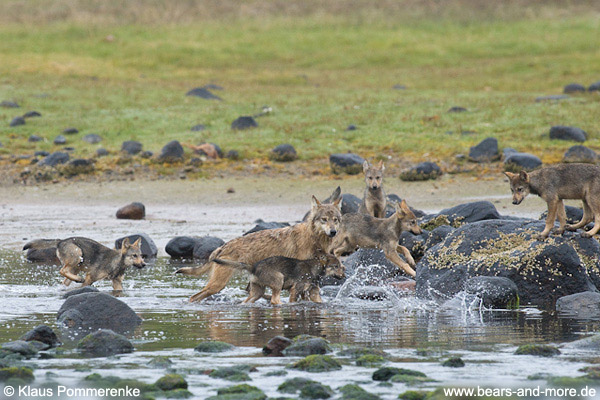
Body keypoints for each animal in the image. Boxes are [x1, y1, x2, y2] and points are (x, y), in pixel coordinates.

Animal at [212, 255, 344, 304]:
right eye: (336, 266)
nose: (344, 276)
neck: (315, 269)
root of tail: (254, 267)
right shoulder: (295, 290)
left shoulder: (313, 293)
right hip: (279, 279)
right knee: (275, 300)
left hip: (257, 292)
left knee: (246, 301)